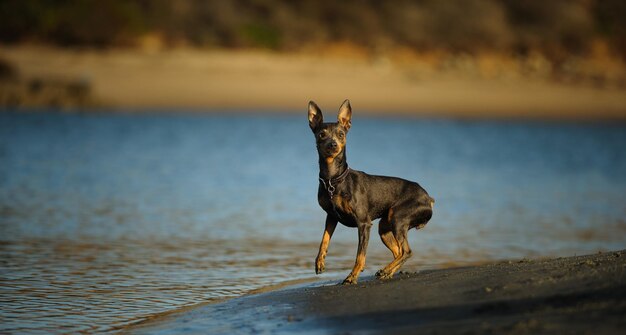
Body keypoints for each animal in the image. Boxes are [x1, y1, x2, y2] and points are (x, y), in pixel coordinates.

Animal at [308, 100, 434, 286]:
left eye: (341, 134)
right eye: (321, 134)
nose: (333, 145)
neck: (333, 179)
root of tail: (429, 198)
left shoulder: (364, 223)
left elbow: (360, 255)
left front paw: (352, 276)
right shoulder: (331, 217)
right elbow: (323, 241)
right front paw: (319, 263)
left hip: (398, 218)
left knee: (406, 251)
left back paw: (386, 271)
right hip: (385, 227)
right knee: (399, 252)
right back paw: (387, 272)